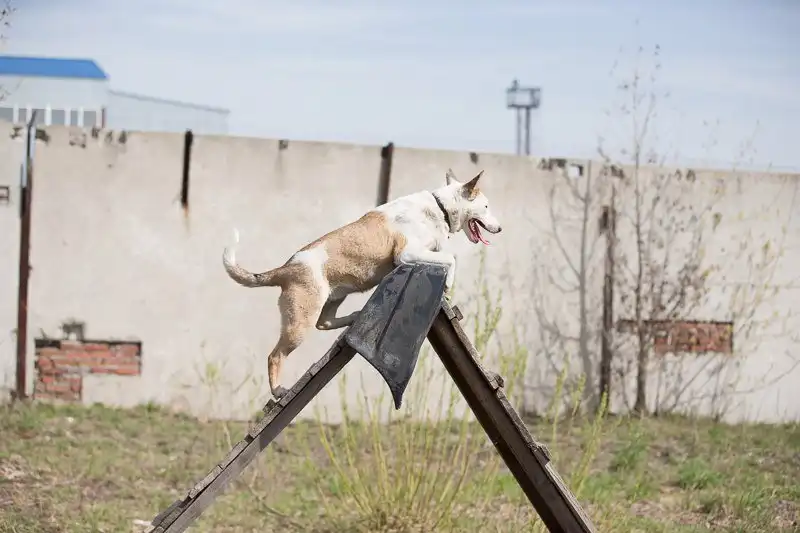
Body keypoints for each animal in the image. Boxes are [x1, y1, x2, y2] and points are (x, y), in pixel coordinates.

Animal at [222, 168, 502, 399]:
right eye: (486, 206)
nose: (499, 229)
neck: (440, 207)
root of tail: (286, 269)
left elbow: (446, 255)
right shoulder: (407, 253)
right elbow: (450, 258)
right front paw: (448, 285)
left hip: (334, 297)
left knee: (325, 322)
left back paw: (355, 316)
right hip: (300, 323)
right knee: (276, 355)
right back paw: (279, 391)